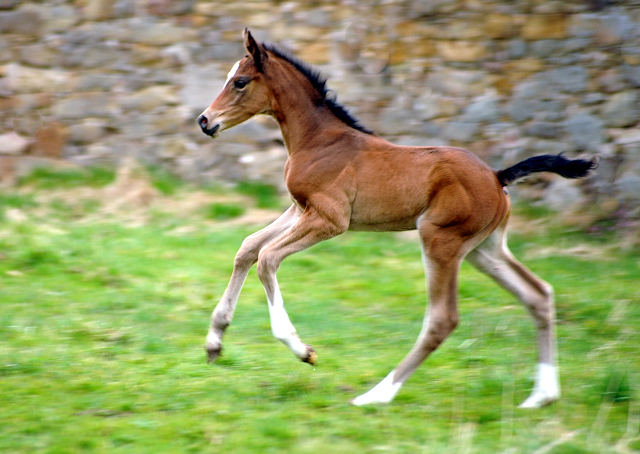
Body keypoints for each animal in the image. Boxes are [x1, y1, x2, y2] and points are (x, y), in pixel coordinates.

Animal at [196, 29, 596, 408]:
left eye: (240, 81)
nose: (204, 121)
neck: (318, 140)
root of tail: (498, 176)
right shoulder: (300, 208)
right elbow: (248, 247)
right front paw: (215, 341)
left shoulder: (330, 219)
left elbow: (267, 258)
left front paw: (302, 350)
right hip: (485, 249)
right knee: (538, 295)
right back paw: (541, 396)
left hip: (439, 239)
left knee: (442, 319)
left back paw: (376, 395)